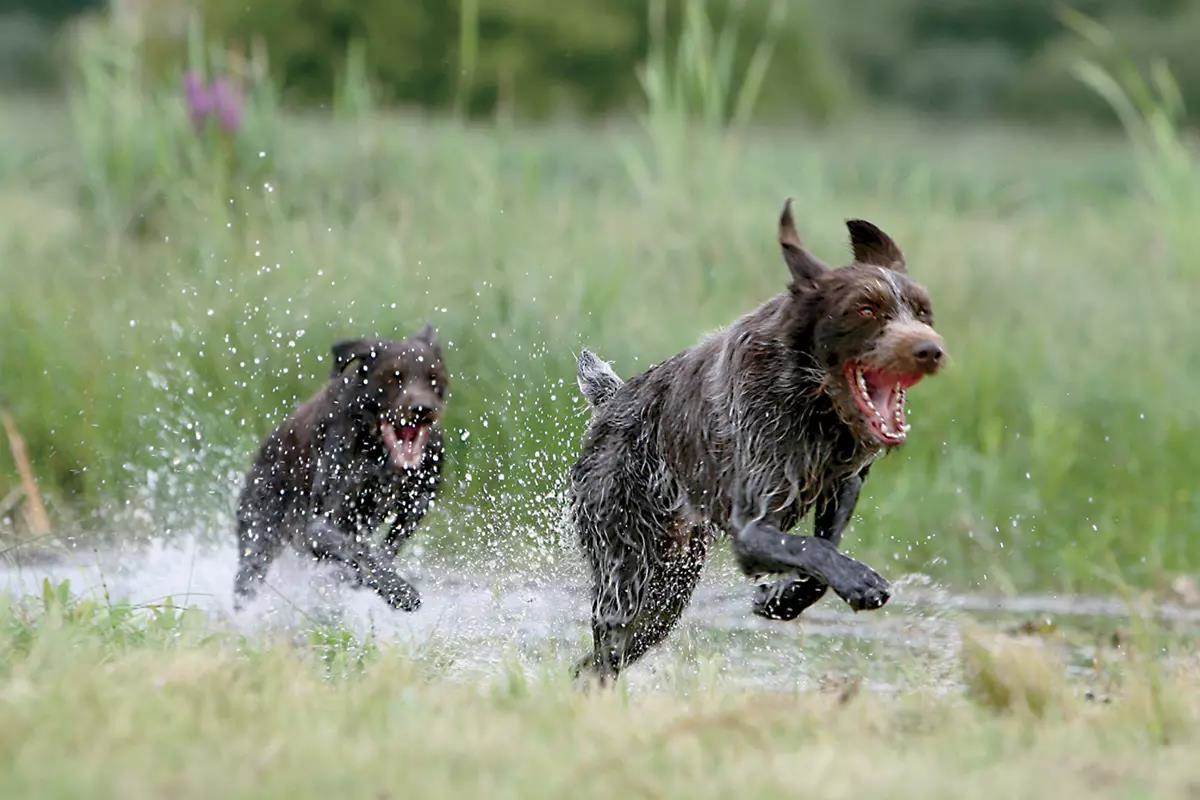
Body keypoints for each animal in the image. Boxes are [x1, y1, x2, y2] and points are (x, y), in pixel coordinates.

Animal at [231, 328, 448, 609]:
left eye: (434, 378)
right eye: (394, 377)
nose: (422, 409)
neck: (378, 452)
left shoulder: (417, 502)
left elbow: (386, 547)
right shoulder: (318, 524)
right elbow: (355, 550)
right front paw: (399, 590)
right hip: (259, 529)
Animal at [571, 201, 945, 681]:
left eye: (923, 313)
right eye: (865, 309)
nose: (930, 350)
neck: (814, 400)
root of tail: (611, 400)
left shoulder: (845, 483)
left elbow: (822, 554)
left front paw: (782, 600)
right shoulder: (751, 527)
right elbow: (808, 547)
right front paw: (858, 581)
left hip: (670, 587)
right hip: (626, 571)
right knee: (601, 655)